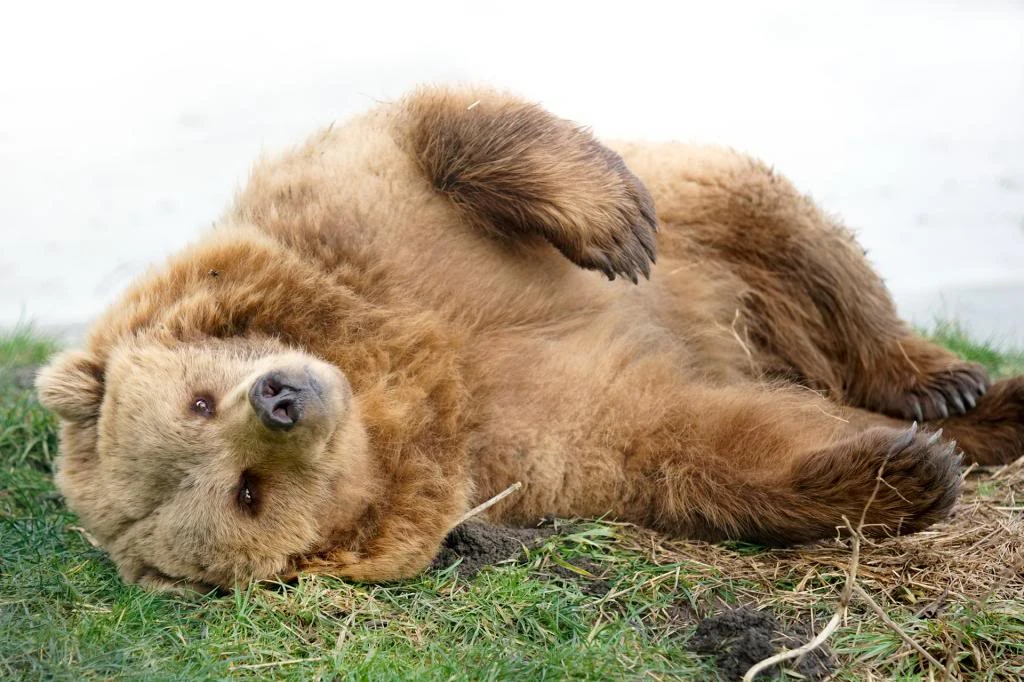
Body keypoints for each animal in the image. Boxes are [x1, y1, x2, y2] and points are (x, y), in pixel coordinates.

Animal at [35, 85, 1024, 592]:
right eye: (245, 493)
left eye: (200, 398)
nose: (281, 398)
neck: (399, 374)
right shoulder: (521, 449)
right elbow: (692, 442)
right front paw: (903, 472)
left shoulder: (370, 239)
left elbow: (439, 134)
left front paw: (614, 225)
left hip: (714, 214)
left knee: (802, 246)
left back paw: (949, 384)